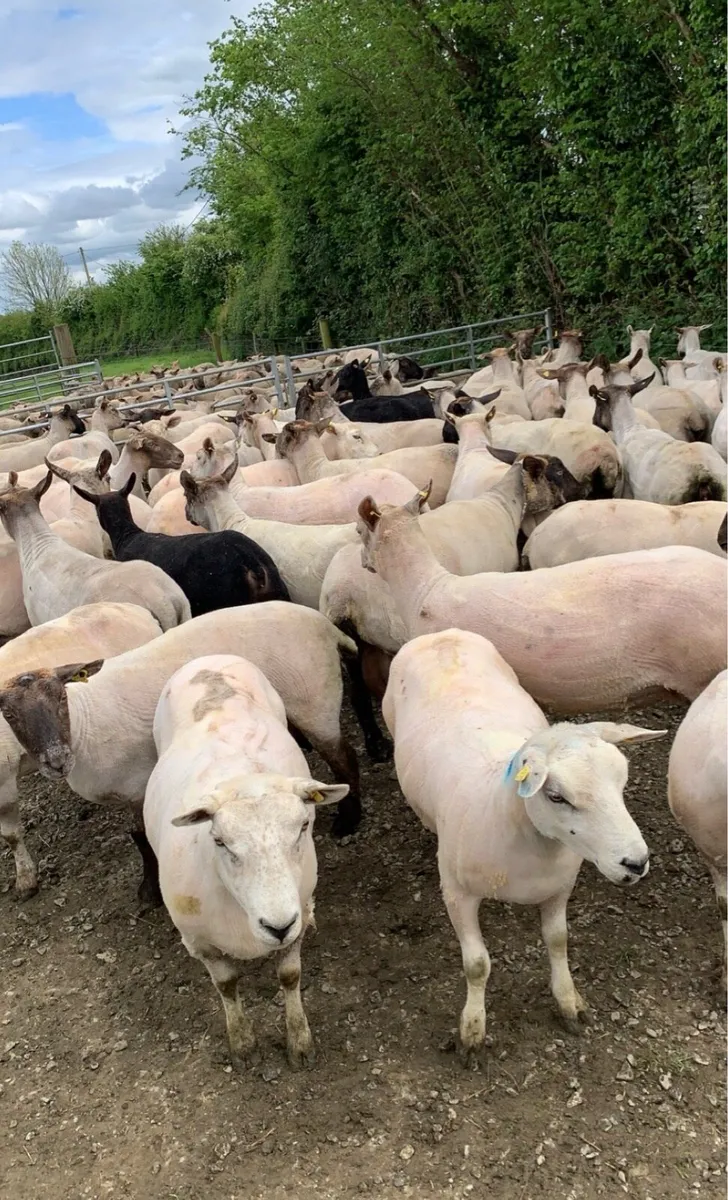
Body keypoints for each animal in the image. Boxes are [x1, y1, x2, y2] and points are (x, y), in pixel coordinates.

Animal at [144, 654, 348, 1068]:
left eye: (304, 826)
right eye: (220, 841)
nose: (278, 925)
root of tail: (209, 657)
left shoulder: (297, 918)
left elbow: (290, 976)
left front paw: (299, 1042)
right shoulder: (200, 942)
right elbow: (226, 985)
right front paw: (242, 1044)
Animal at [383, 629, 658, 1058]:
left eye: (622, 781)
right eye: (557, 796)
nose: (636, 862)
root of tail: (442, 634)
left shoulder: (559, 887)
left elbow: (559, 941)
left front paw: (568, 1002)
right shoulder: (457, 895)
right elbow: (477, 965)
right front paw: (473, 1029)